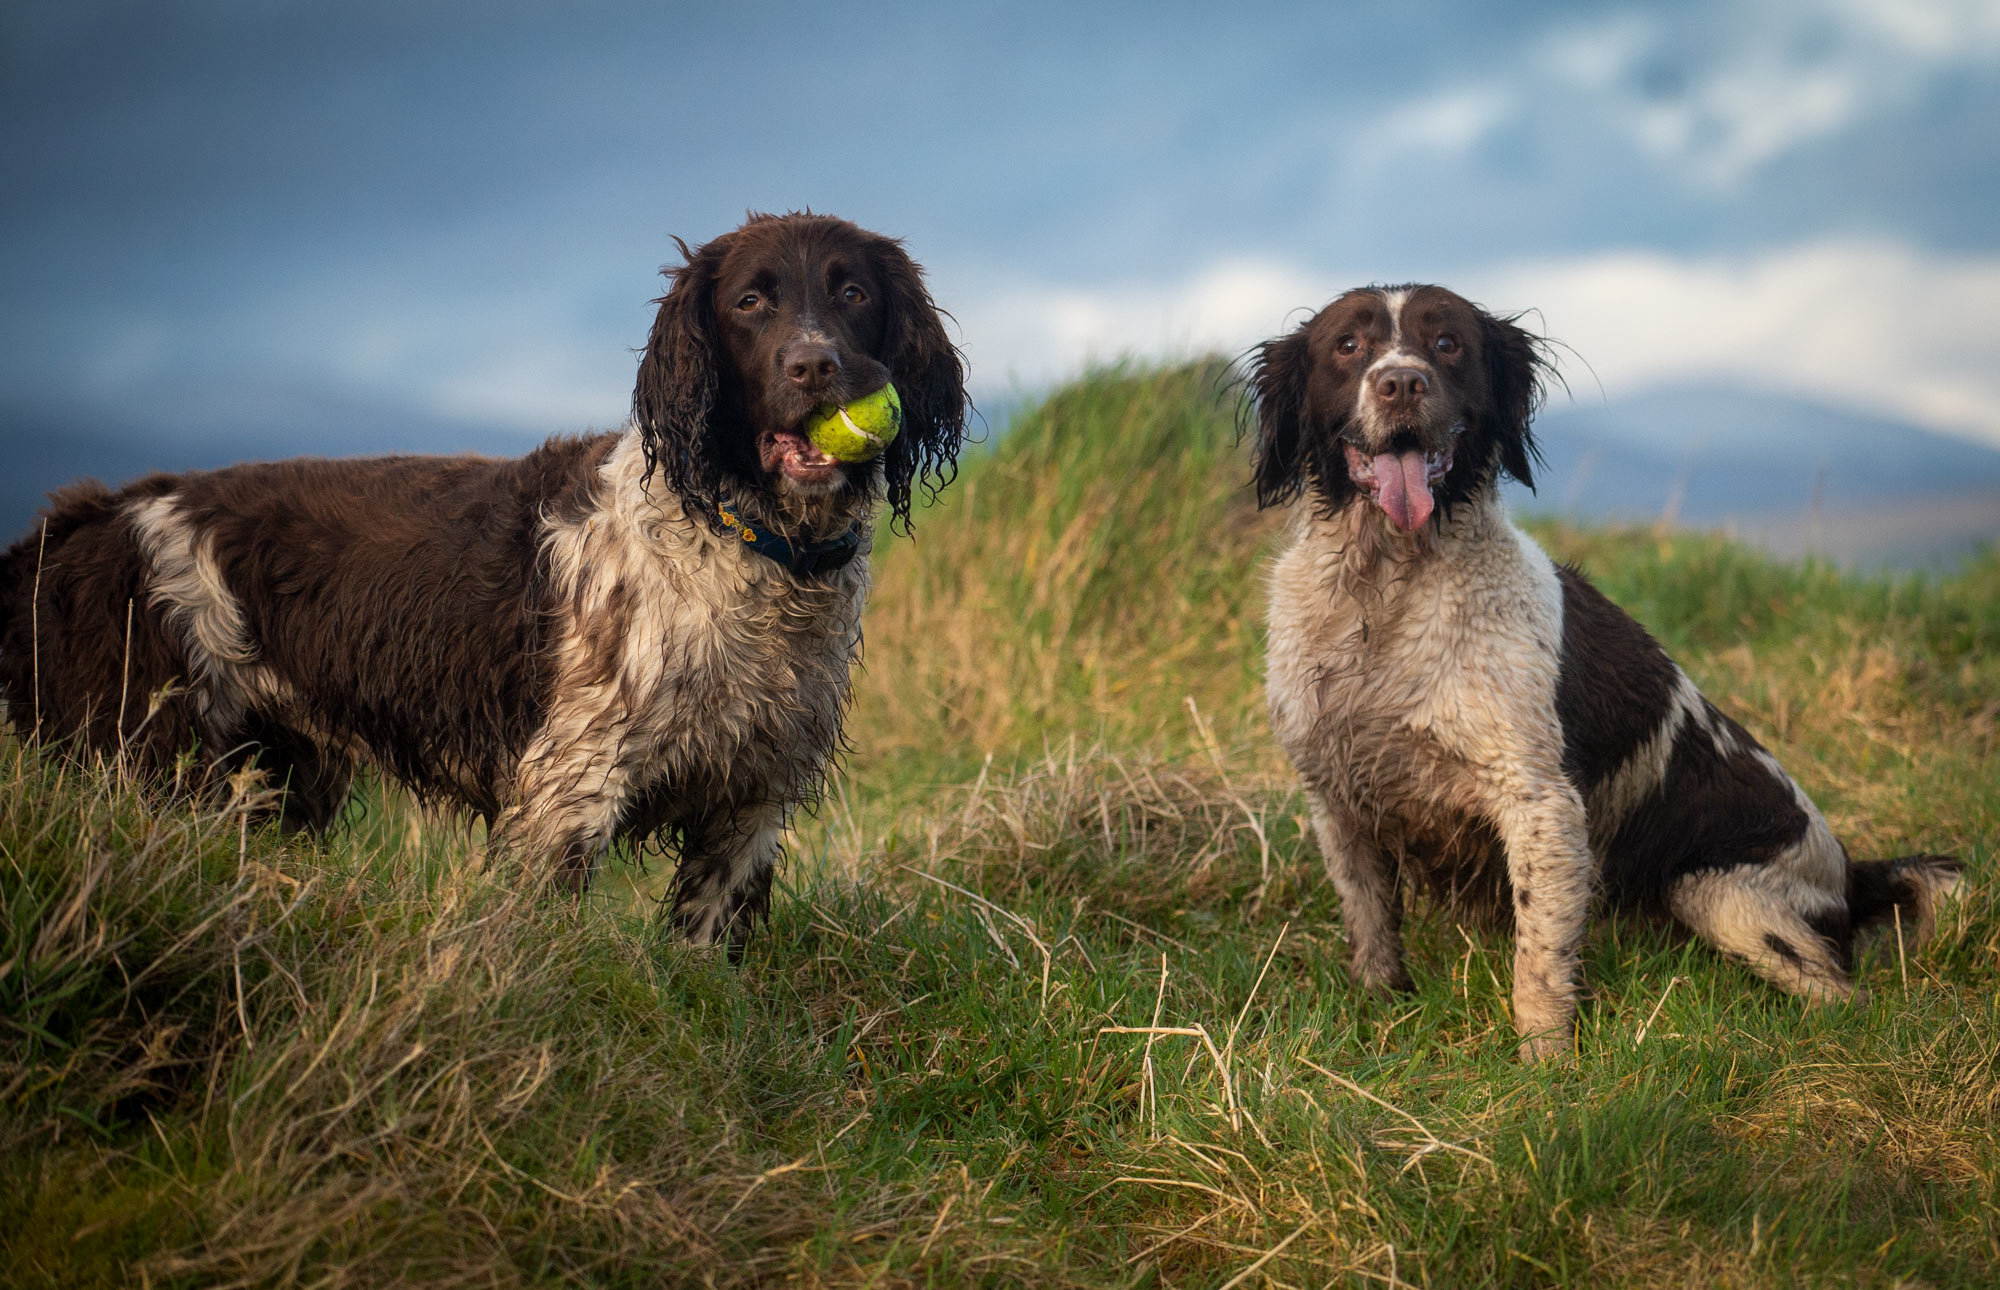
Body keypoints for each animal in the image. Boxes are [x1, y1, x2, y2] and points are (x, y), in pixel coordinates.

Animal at [0, 211, 968, 952]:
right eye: (750, 301)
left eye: (853, 294)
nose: (815, 367)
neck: (749, 545)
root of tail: (79, 525)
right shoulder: (570, 789)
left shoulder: (750, 801)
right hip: (148, 762)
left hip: (273, 779)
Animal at [1248, 284, 1952, 1056]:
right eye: (1348, 345)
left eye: (1447, 344)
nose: (1401, 383)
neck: (1384, 594)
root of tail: (1853, 875)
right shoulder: (1335, 794)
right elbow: (1370, 923)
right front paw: (1382, 1007)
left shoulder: (1541, 805)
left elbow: (1538, 960)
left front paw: (1545, 1062)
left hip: (1719, 893)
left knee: (1845, 998)